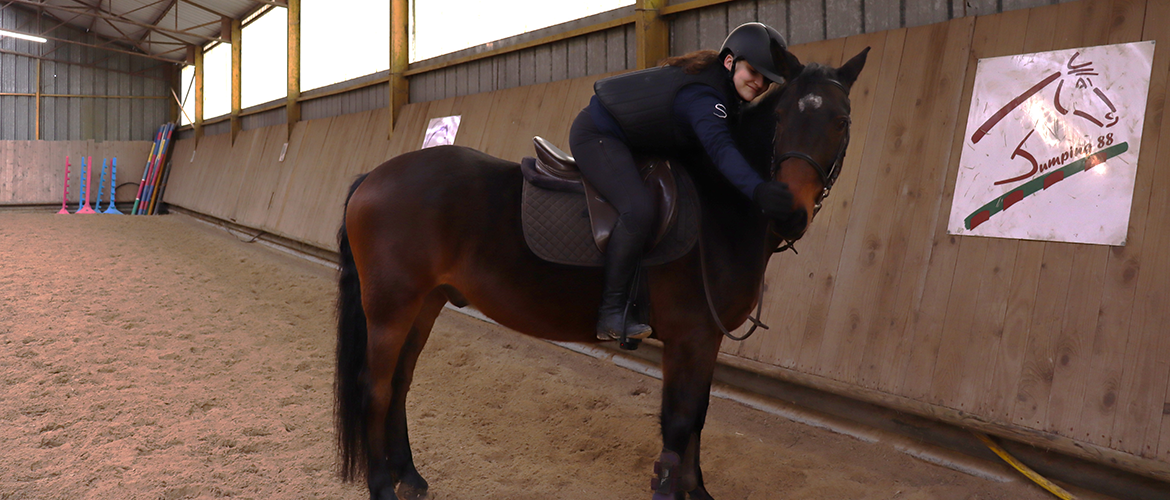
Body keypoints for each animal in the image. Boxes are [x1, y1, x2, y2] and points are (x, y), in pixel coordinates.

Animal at [334, 45, 865, 498]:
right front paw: (673, 489)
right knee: (375, 388)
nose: (789, 212)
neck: (719, 206)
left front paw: (696, 491)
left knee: (401, 382)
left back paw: (410, 475)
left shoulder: (705, 339)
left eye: (840, 121)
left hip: (425, 303)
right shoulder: (690, 335)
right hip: (391, 309)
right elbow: (679, 420)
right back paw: (382, 486)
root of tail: (375, 176)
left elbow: (697, 416)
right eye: (781, 119)